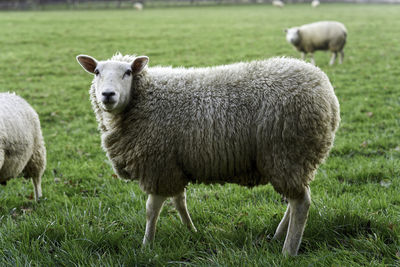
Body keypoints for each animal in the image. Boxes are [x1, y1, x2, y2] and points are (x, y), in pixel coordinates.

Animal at [76, 53, 340, 256]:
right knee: (296, 200)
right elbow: (179, 201)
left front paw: (146, 245)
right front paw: (191, 230)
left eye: (128, 72)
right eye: (97, 72)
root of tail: (327, 92)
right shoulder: (174, 164)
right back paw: (277, 236)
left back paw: (288, 251)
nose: (107, 95)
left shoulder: (158, 165)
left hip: (286, 153)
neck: (143, 99)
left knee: (302, 203)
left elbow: (151, 210)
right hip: (295, 159)